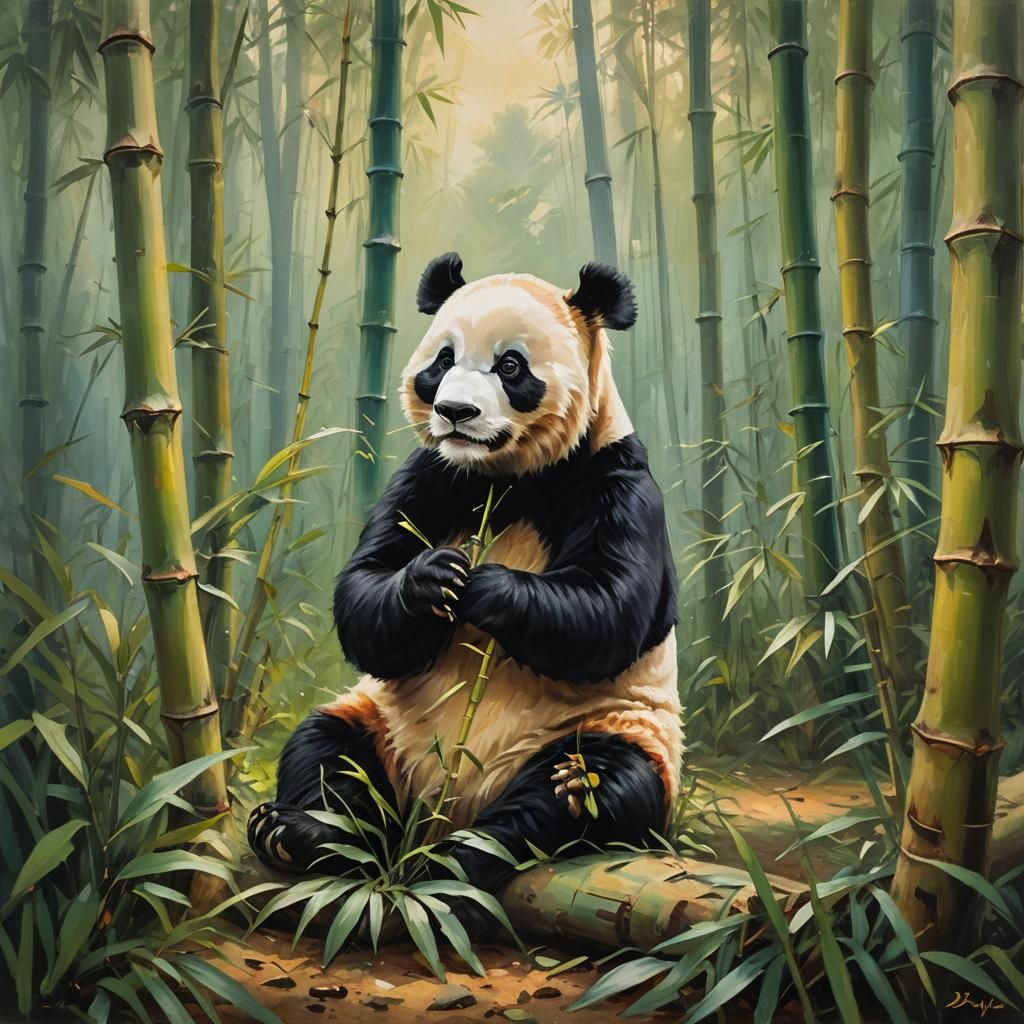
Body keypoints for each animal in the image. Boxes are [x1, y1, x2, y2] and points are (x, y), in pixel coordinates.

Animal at [249, 255, 681, 897]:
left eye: (511, 366)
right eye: (443, 361)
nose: (455, 413)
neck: (506, 477)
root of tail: (440, 808)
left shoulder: (615, 481)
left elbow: (607, 610)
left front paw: (484, 586)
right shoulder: (430, 478)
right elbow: (366, 591)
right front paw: (431, 579)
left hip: (611, 727)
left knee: (583, 794)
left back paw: (461, 859)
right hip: (379, 721)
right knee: (326, 754)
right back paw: (302, 833)